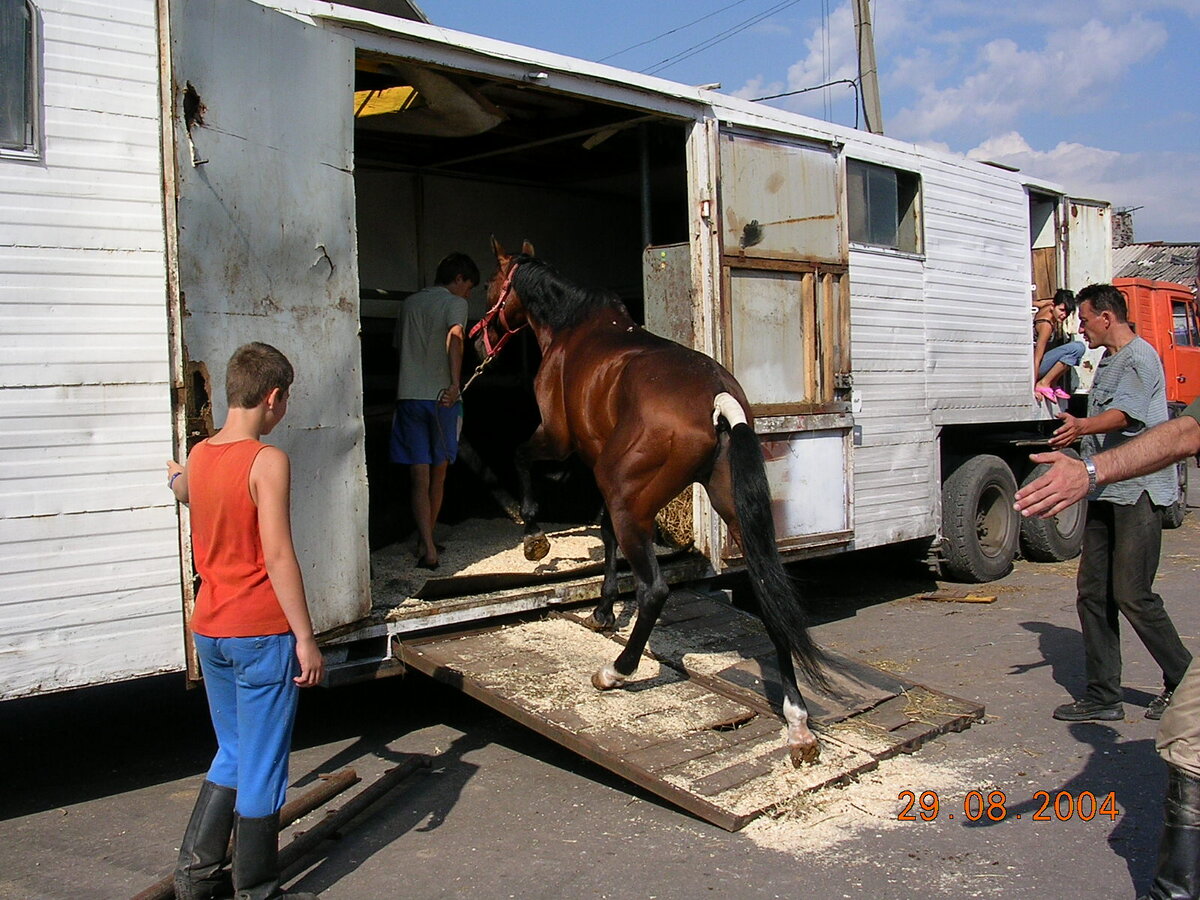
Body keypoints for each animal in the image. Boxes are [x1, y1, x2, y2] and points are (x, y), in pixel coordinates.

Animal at [472, 236, 830, 763]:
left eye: (492, 286)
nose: (480, 340)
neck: (574, 327)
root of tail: (717, 397)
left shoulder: (559, 440)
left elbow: (520, 459)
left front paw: (535, 535)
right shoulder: (595, 464)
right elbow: (604, 533)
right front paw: (603, 610)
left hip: (628, 498)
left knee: (654, 590)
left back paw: (615, 672)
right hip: (730, 512)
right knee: (769, 595)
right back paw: (797, 721)